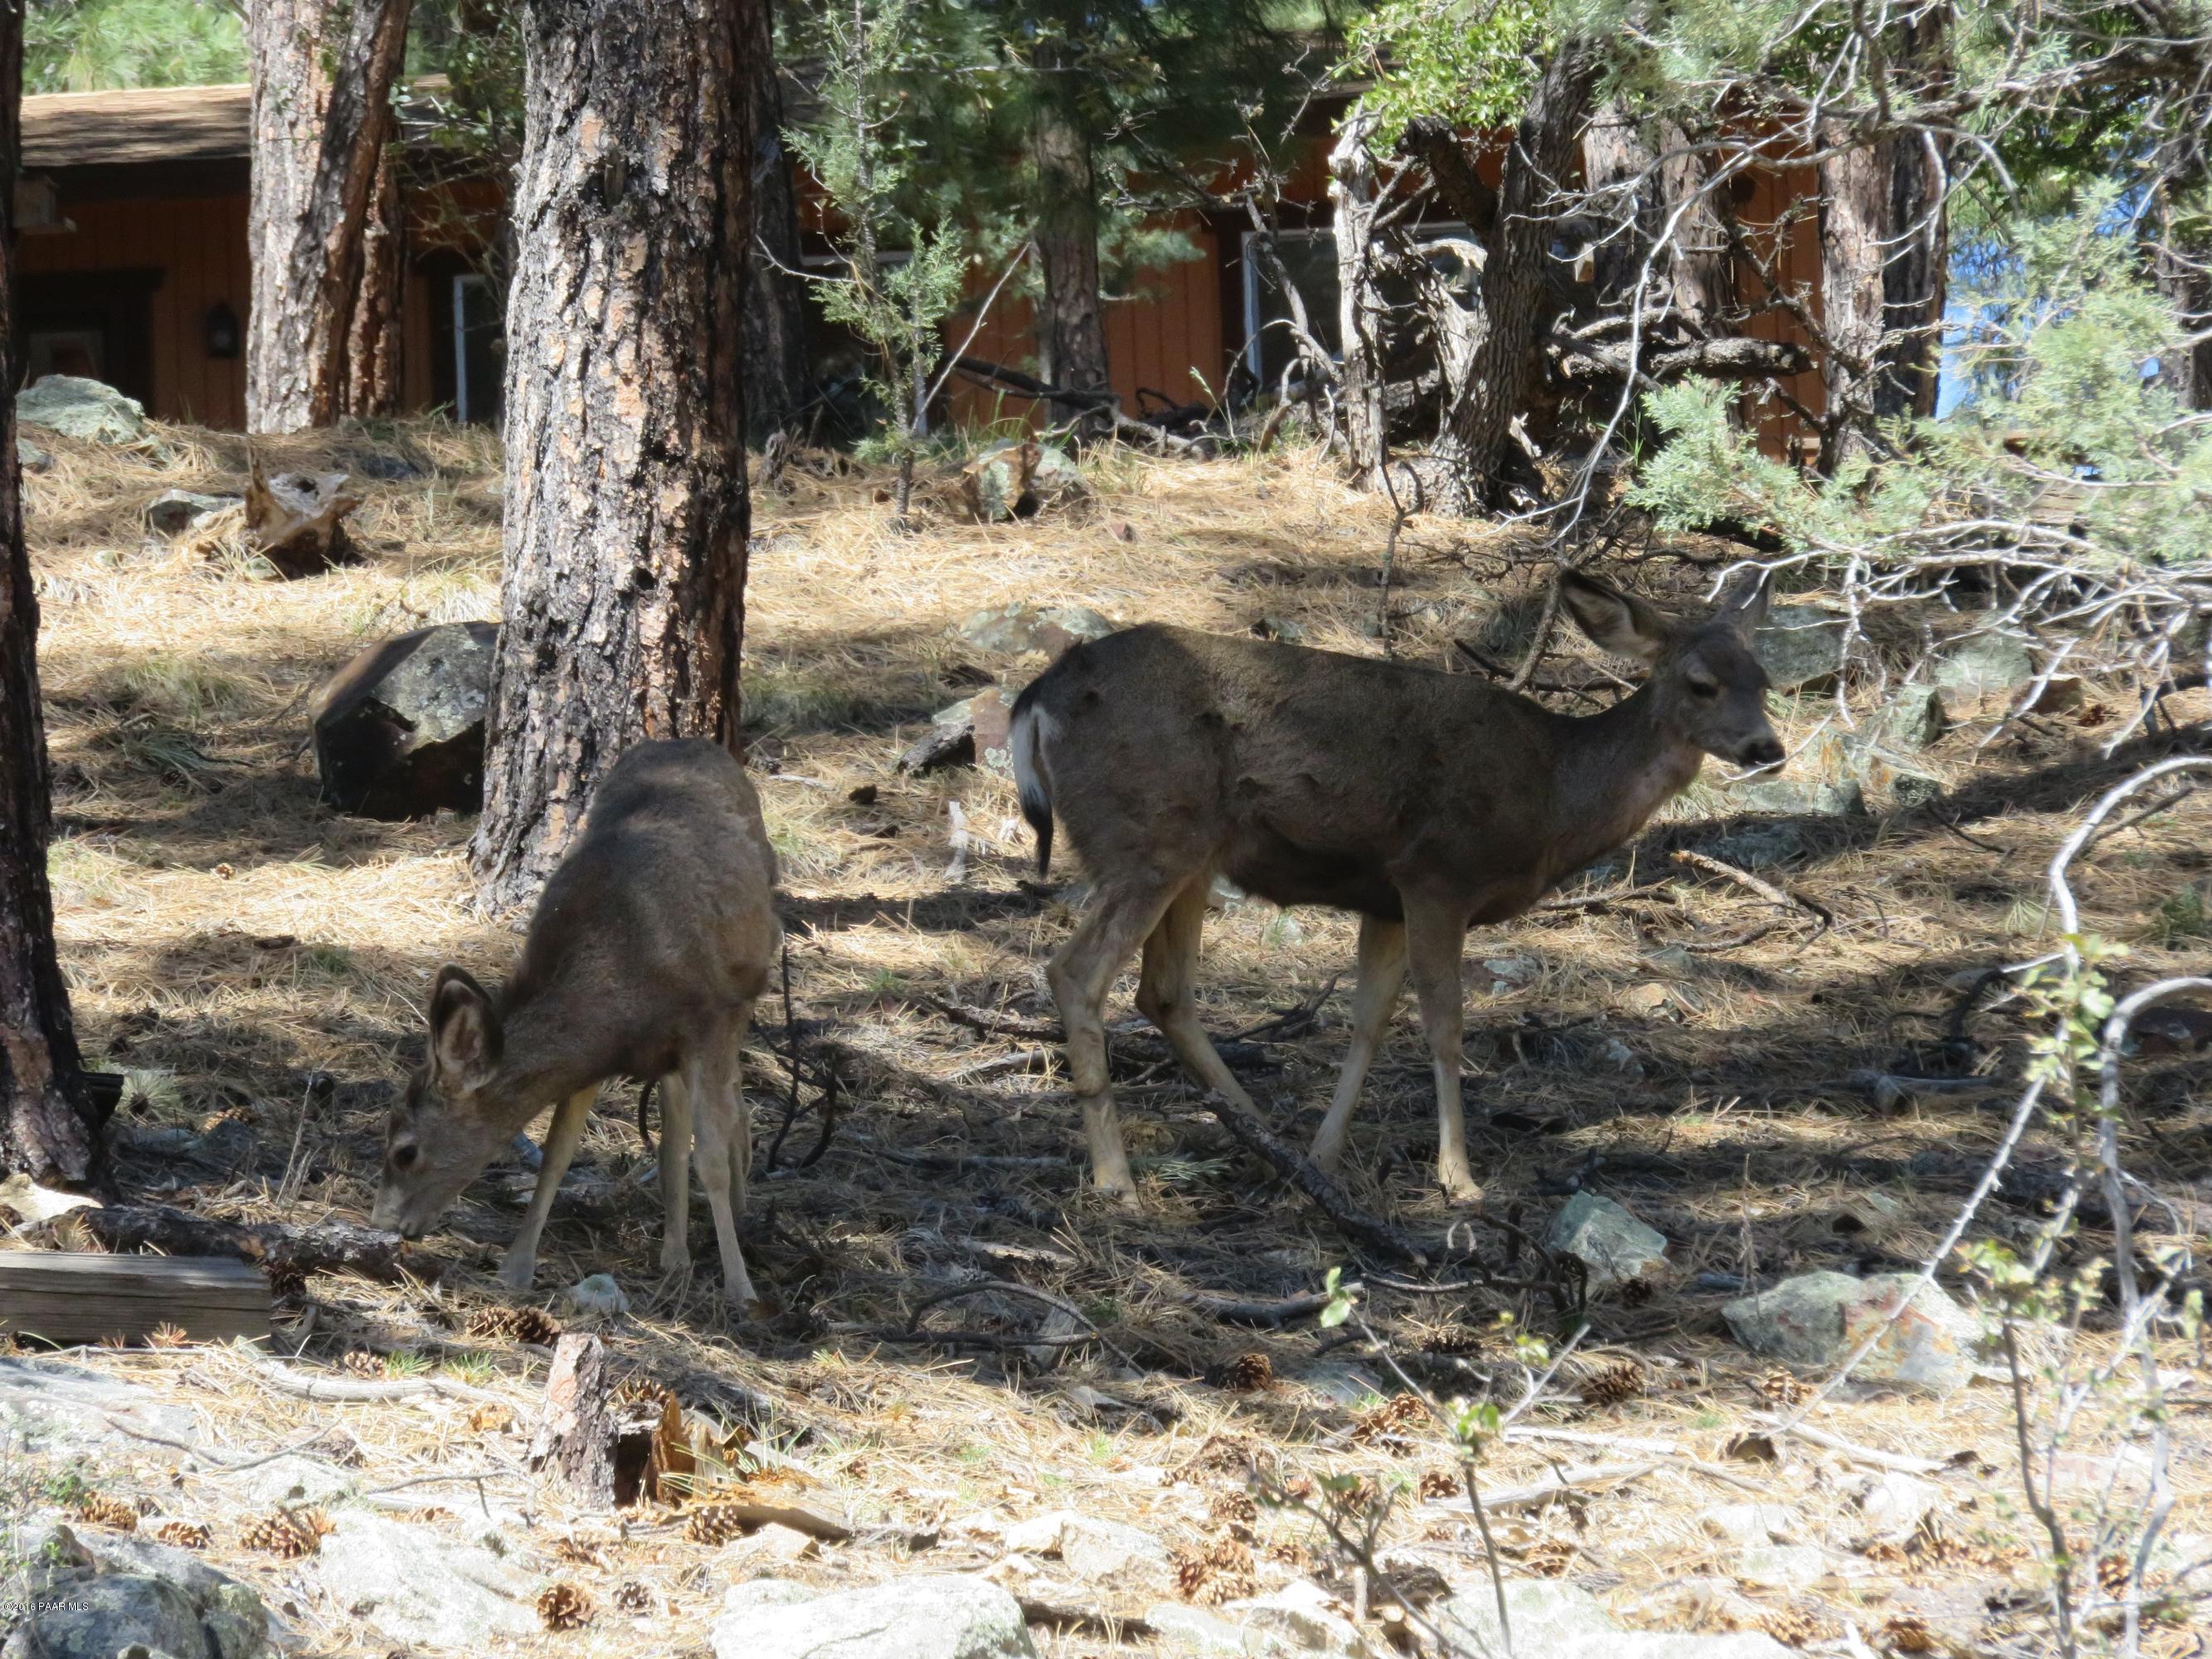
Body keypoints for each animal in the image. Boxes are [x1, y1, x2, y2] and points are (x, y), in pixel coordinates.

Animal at [369, 739, 781, 1309]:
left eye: (406, 1152)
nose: (383, 1224)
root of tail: (693, 742)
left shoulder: (707, 1025)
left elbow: (712, 1160)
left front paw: (740, 1288)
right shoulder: (594, 1058)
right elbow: (557, 1155)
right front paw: (515, 1267)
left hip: (741, 1000)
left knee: (733, 1106)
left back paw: (737, 1216)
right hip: (675, 1058)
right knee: (676, 1133)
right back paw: (675, 1256)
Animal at [1008, 570, 1783, 1205]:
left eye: (1764, 680)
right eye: (1700, 683)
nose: (1767, 749)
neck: (1554, 791)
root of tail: (1036, 698)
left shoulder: (1383, 898)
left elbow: (1369, 1019)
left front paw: (1326, 1154)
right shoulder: (1438, 873)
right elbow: (1443, 1021)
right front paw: (1458, 1178)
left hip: (1191, 855)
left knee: (1163, 991)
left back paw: (1266, 1140)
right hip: (1144, 838)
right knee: (1075, 973)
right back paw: (1117, 1181)